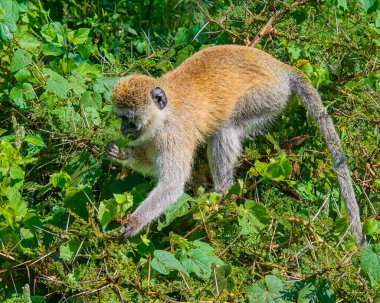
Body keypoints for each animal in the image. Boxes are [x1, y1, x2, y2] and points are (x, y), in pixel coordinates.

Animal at [108, 46, 366, 248]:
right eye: (120, 118)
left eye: (130, 119)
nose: (123, 130)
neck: (163, 115)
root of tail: (281, 68)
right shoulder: (151, 138)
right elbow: (153, 166)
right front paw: (123, 154)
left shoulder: (173, 137)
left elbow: (172, 185)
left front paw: (134, 223)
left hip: (268, 96)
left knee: (226, 128)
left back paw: (220, 190)